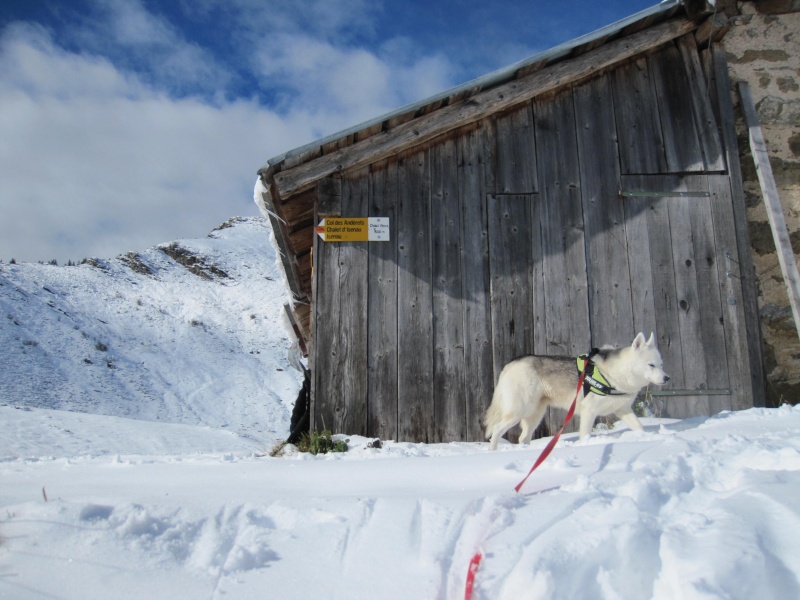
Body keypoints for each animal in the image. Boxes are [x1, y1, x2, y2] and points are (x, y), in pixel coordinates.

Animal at [484, 332, 672, 450]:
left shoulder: (622, 410)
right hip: (519, 411)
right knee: (497, 431)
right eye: (651, 365)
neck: (615, 375)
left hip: (534, 415)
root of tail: (511, 364)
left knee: (523, 438)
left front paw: (646, 438)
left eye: (661, 364)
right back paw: (493, 453)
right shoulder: (589, 411)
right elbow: (585, 434)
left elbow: (639, 427)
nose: (666, 378)